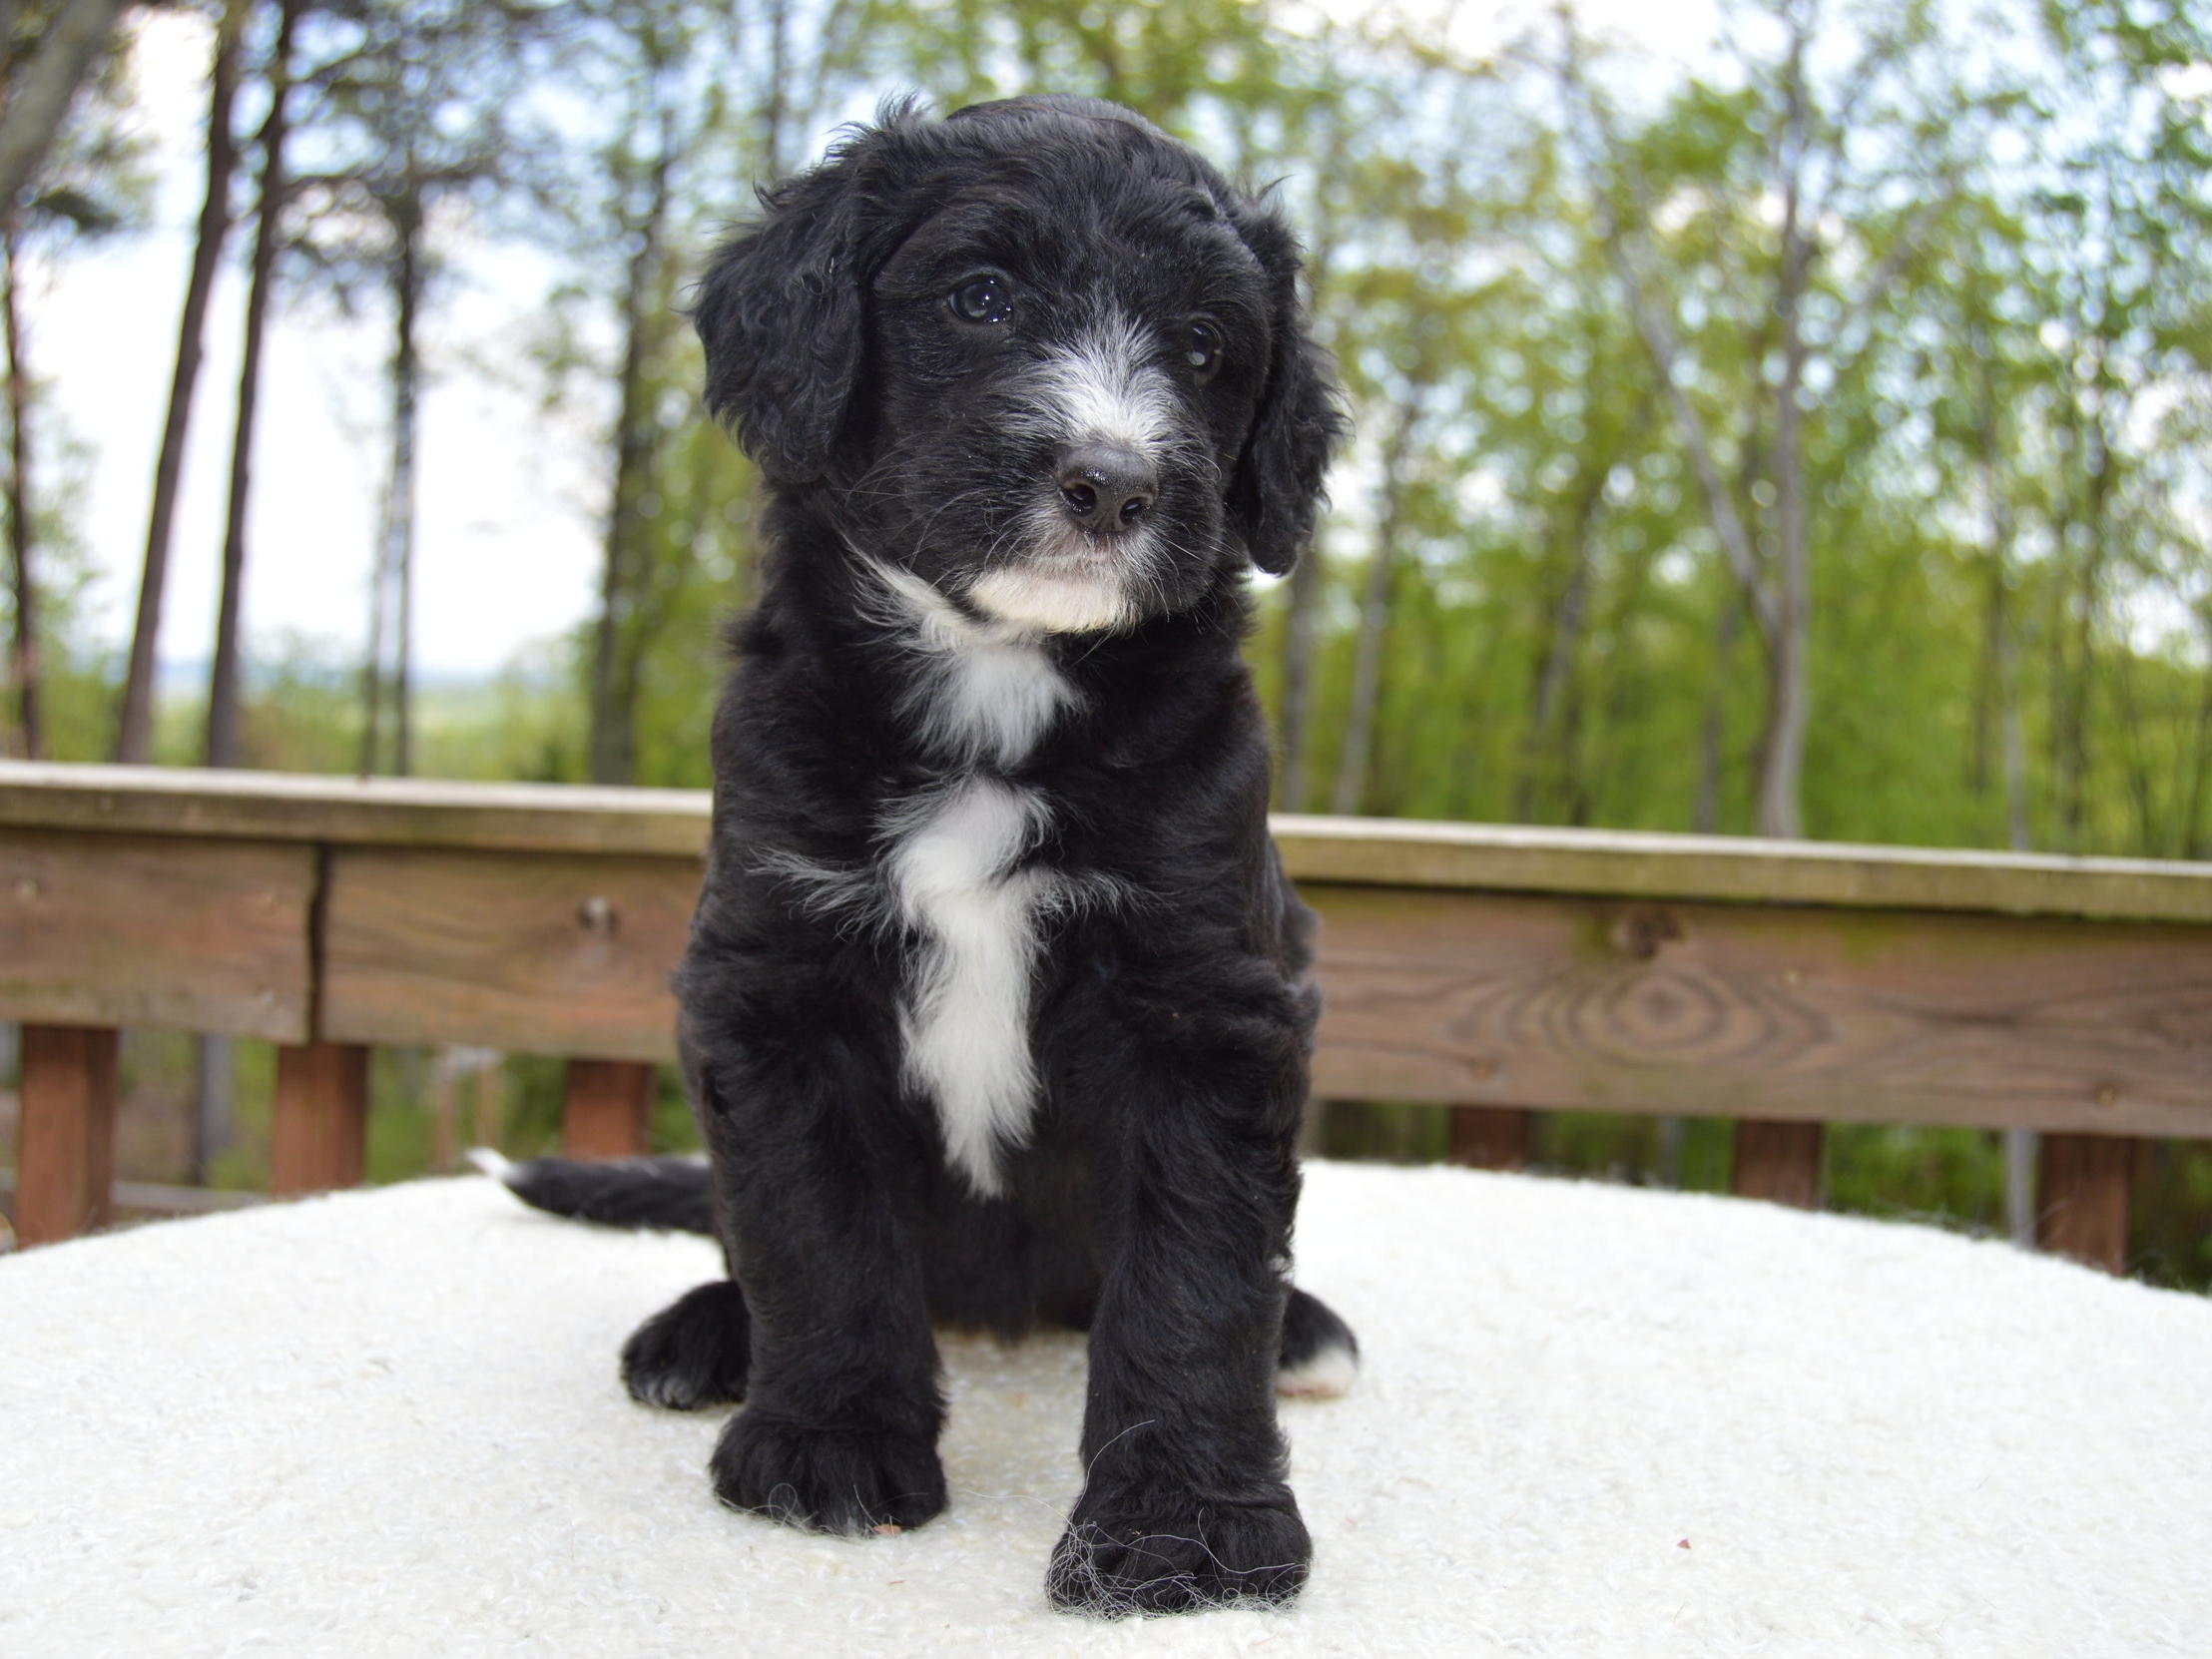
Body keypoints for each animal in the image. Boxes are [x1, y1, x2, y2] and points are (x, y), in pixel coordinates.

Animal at [504, 94, 1354, 1627]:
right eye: (980, 298)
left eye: (1208, 346)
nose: (1113, 482)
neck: (995, 683)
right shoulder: (776, 981)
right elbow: (812, 1227)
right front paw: (829, 1443)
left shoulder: (1209, 1001)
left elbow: (1197, 1280)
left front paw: (1184, 1535)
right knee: (738, 1232)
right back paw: (702, 1333)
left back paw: (1302, 1330)